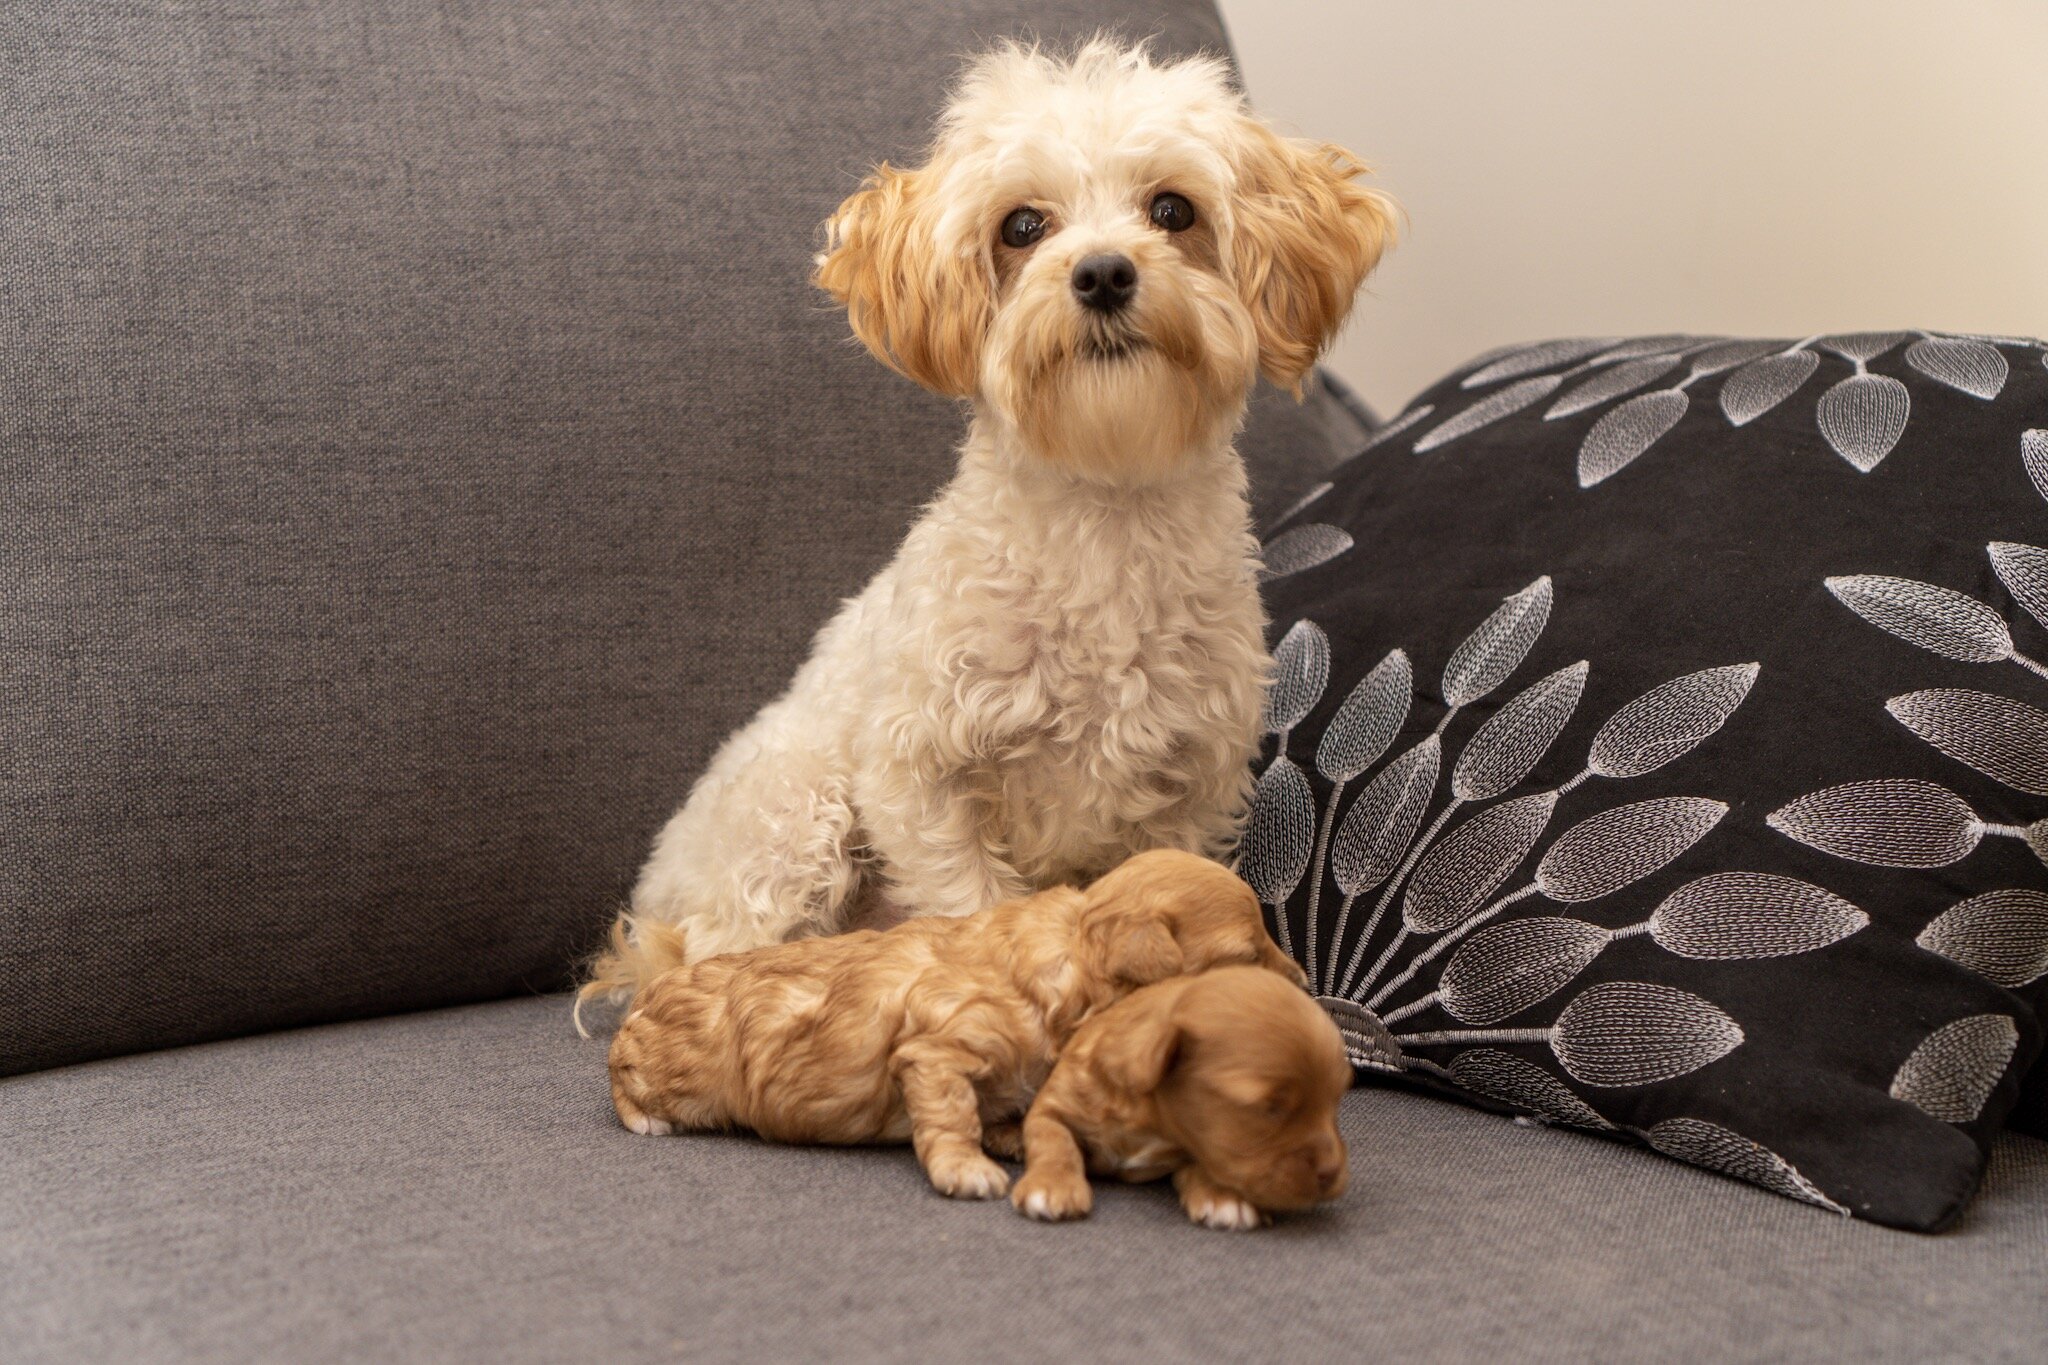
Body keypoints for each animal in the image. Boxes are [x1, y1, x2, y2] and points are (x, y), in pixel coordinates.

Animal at [585, 34, 1400, 1015]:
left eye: (1173, 210)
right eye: (1022, 226)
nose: (1103, 272)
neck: (1104, 506)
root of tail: (654, 905)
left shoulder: (1190, 792)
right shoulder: (918, 779)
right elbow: (971, 906)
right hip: (795, 815)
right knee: (719, 950)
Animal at [602, 847, 1294, 1203]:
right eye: (1245, 955)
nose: (1304, 984)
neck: (1072, 951)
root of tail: (642, 1000)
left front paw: (1012, 1134)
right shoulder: (936, 1052)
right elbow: (952, 1116)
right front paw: (969, 1168)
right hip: (659, 1074)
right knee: (625, 1089)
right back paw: (648, 1119)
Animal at [1003, 965, 1351, 1236]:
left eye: (1334, 1102)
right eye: (1271, 1109)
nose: (1333, 1171)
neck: (1150, 1118)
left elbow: (1201, 1162)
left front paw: (1224, 1198)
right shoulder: (1054, 1105)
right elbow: (1054, 1141)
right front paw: (1052, 1186)